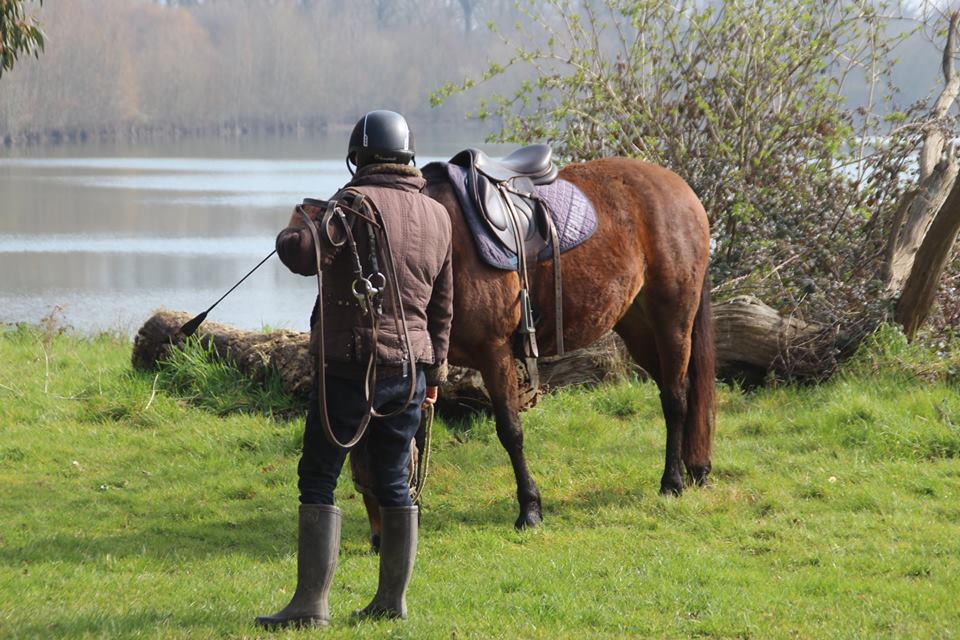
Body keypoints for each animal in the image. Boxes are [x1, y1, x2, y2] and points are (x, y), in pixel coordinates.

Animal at [358, 156, 712, 536]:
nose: (379, 538)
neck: (443, 242)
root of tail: (681, 188)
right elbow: (420, 435)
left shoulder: (494, 352)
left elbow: (510, 431)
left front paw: (529, 509)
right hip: (637, 326)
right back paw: (695, 468)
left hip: (673, 320)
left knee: (676, 396)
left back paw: (672, 482)